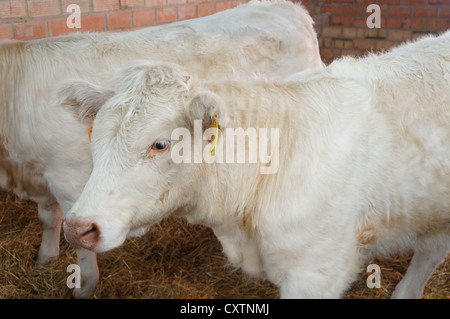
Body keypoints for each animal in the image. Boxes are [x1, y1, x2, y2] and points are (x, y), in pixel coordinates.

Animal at [0, 0, 324, 300]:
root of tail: (288, 8)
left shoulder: (66, 177)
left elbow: (78, 239)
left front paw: (84, 285)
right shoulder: (41, 175)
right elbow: (49, 218)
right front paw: (45, 259)